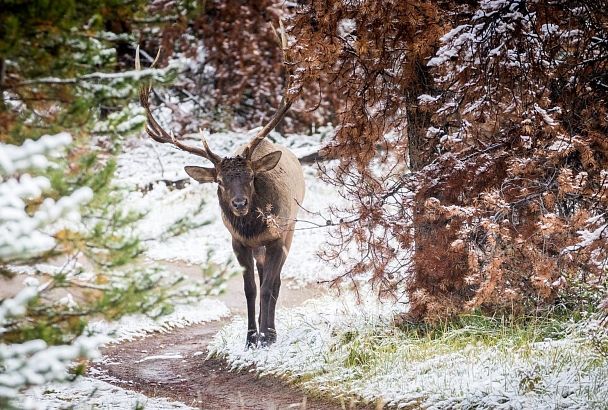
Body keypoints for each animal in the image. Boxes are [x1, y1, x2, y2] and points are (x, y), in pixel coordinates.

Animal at [134, 45, 304, 346]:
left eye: (251, 177)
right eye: (220, 181)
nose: (239, 203)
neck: (254, 230)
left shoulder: (278, 236)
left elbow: (269, 287)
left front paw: (266, 337)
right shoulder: (238, 242)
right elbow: (250, 289)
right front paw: (250, 339)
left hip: (291, 230)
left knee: (275, 282)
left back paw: (271, 331)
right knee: (263, 278)